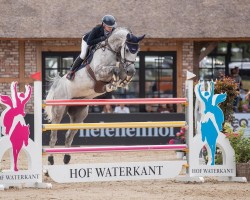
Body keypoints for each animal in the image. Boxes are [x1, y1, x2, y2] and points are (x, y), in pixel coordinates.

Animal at [44, 27, 145, 164]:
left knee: (69, 135)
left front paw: (122, 81)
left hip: (79, 114)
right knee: (53, 135)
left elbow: (120, 73)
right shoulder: (98, 71)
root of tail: (58, 84)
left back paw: (66, 157)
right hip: (59, 110)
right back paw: (50, 159)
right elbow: (114, 70)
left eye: (137, 51)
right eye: (128, 50)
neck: (112, 50)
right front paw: (112, 83)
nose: (131, 70)